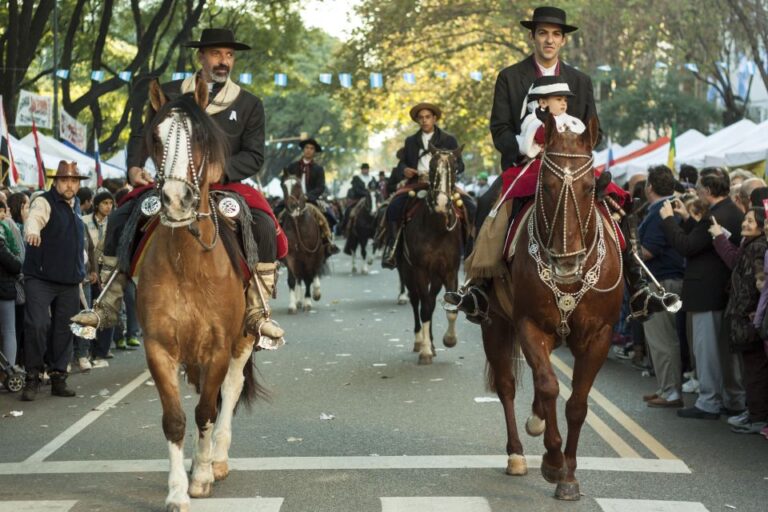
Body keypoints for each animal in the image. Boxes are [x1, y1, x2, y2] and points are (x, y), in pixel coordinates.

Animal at [138, 79, 268, 508]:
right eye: (156, 137)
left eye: (199, 137)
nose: (177, 201)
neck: (188, 262)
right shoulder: (159, 346)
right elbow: (176, 419)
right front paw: (178, 490)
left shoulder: (218, 346)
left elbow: (208, 409)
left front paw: (202, 476)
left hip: (243, 337)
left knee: (230, 388)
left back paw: (217, 458)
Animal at [280, 173, 328, 312]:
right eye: (283, 186)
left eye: (298, 185)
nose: (291, 206)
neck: (298, 223)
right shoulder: (290, 256)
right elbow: (292, 280)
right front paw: (292, 305)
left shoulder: (310, 256)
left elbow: (309, 279)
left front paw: (308, 301)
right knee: (298, 277)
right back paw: (298, 300)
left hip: (317, 254)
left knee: (313, 273)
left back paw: (315, 293)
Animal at [400, 145, 464, 364]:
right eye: (432, 167)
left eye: (455, 168)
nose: (441, 203)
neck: (437, 228)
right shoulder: (420, 270)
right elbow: (425, 307)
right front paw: (426, 351)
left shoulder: (450, 271)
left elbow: (451, 306)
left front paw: (449, 340)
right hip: (408, 272)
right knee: (417, 301)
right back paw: (420, 341)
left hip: (436, 276)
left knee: (430, 299)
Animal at [486, 117, 624, 500]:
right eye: (545, 186)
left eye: (590, 186)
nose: (567, 262)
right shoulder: (529, 324)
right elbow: (548, 385)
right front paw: (551, 461)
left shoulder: (599, 336)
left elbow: (577, 403)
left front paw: (569, 475)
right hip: (495, 323)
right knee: (507, 385)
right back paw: (517, 454)